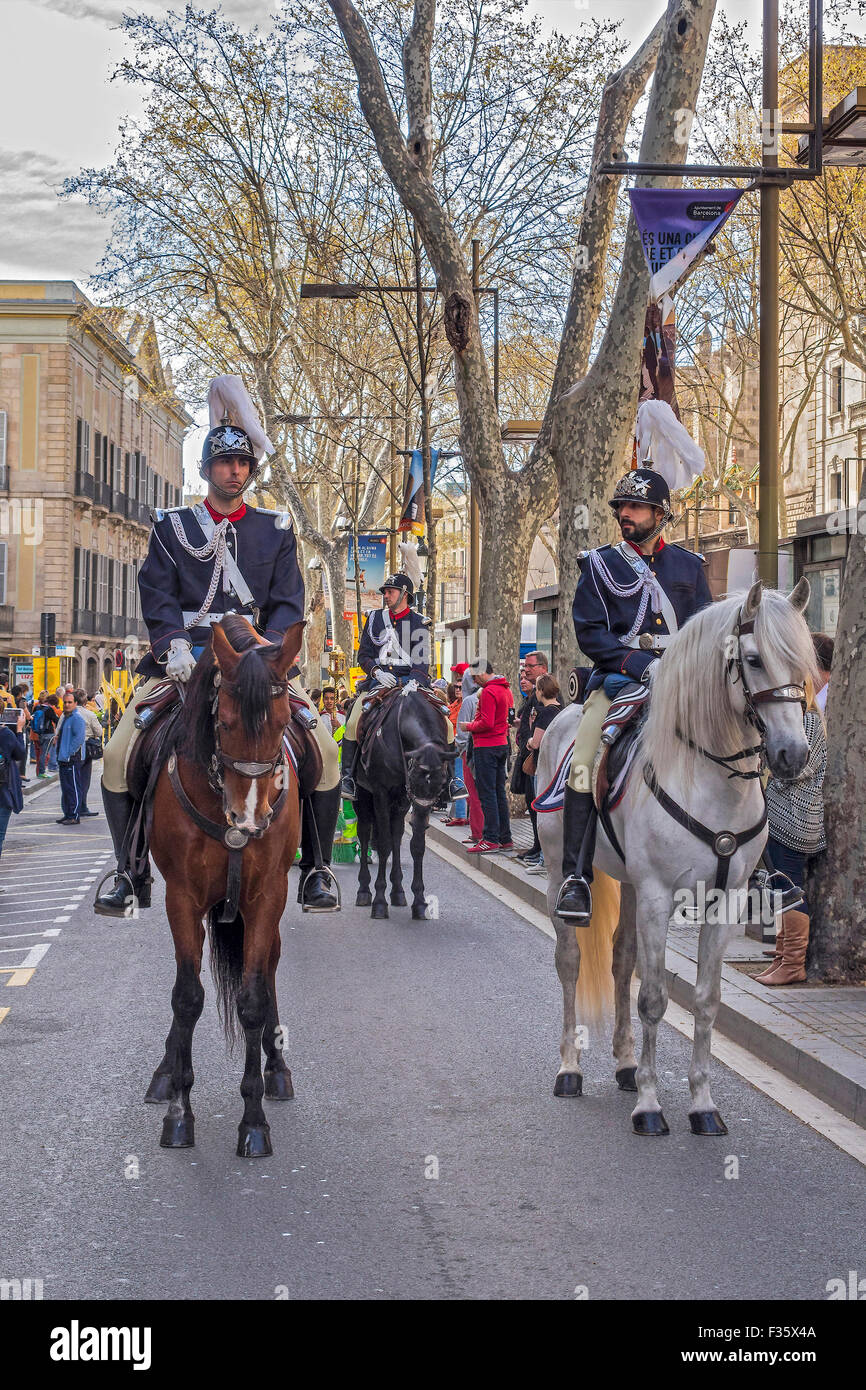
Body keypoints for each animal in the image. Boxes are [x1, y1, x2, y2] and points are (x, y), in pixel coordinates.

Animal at [143, 614, 303, 1156]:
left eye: (283, 721)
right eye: (226, 723)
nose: (249, 820)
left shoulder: (267, 897)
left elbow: (253, 999)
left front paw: (253, 1121)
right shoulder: (182, 898)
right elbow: (187, 998)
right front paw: (179, 1114)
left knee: (270, 971)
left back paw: (277, 1070)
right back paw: (165, 1072)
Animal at [539, 581, 817, 1134]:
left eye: (802, 662)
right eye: (753, 659)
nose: (793, 756)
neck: (711, 780)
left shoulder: (724, 900)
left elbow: (705, 1000)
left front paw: (702, 1104)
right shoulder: (656, 896)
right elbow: (653, 998)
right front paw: (650, 1107)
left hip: (626, 882)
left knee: (621, 960)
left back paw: (626, 1066)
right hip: (562, 867)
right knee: (571, 962)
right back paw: (570, 1070)